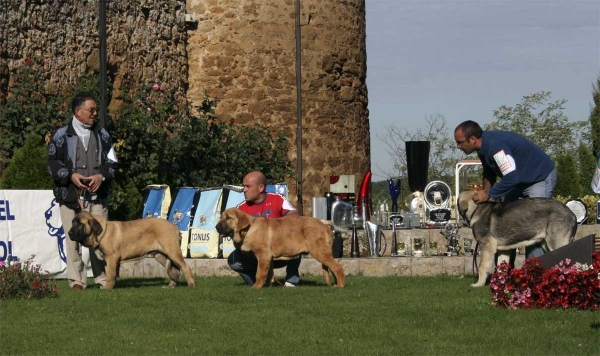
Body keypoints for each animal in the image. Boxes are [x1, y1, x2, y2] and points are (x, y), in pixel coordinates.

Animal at [69, 211, 197, 290]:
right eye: (72, 222)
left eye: (79, 224)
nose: (69, 233)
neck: (101, 233)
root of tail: (176, 227)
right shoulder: (107, 260)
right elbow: (108, 275)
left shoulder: (111, 258)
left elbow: (110, 276)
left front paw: (107, 289)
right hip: (160, 255)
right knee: (175, 270)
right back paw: (171, 285)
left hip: (172, 251)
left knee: (185, 267)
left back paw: (191, 285)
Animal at [217, 207, 346, 288]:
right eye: (221, 217)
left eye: (228, 218)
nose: (216, 227)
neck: (248, 229)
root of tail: (325, 226)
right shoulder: (268, 258)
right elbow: (269, 273)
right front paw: (267, 286)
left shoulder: (263, 255)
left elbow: (260, 273)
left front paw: (256, 287)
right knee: (333, 267)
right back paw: (336, 283)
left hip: (319, 251)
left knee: (337, 267)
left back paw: (340, 285)